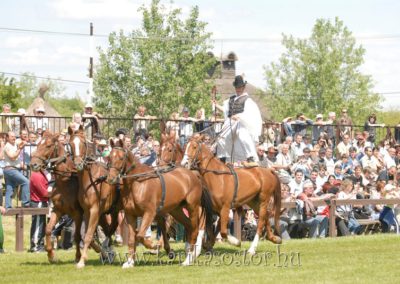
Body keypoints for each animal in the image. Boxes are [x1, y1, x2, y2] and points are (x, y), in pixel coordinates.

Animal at [68, 126, 121, 268]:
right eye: (70, 144)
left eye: (83, 143)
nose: (78, 164)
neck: (92, 181)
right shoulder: (88, 212)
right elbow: (89, 236)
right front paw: (104, 253)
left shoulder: (94, 210)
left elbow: (88, 235)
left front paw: (81, 261)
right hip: (108, 212)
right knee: (109, 229)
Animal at [105, 140, 212, 268]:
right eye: (109, 157)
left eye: (121, 158)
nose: (111, 179)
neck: (137, 183)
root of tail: (192, 174)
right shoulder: (130, 215)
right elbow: (132, 238)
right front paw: (130, 262)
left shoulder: (149, 213)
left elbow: (139, 235)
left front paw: (154, 246)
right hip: (176, 211)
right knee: (189, 226)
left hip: (192, 207)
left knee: (195, 229)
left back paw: (188, 259)